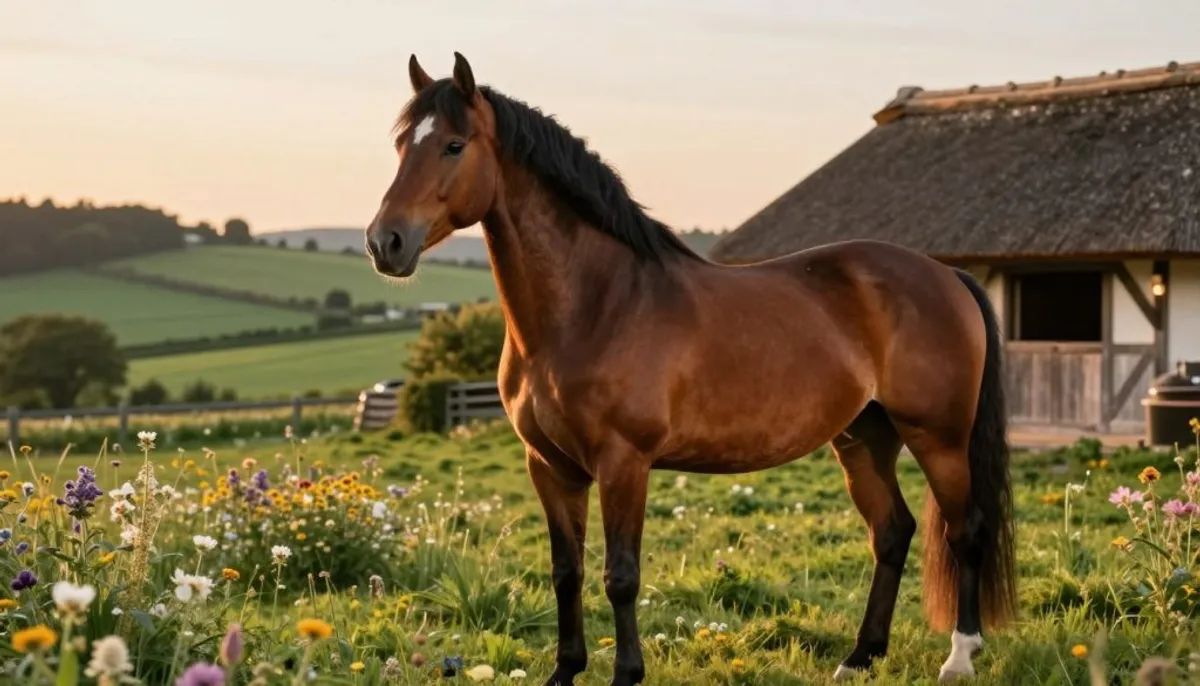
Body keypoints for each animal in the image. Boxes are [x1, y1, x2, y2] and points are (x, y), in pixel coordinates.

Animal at [364, 52, 1017, 685]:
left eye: (454, 144)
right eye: (400, 147)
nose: (383, 242)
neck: (595, 305)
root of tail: (946, 274)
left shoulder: (624, 462)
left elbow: (620, 575)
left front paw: (627, 674)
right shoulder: (549, 466)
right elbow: (566, 571)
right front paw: (565, 669)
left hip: (938, 438)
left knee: (965, 531)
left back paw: (959, 657)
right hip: (864, 437)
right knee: (892, 531)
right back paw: (860, 656)